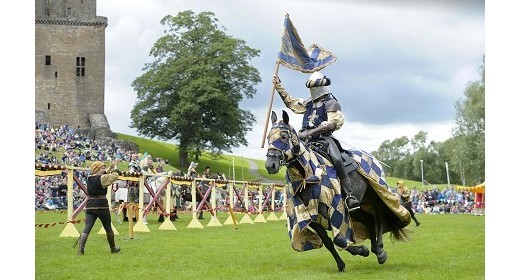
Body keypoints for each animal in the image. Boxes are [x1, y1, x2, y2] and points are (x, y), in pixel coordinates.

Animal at [266, 110, 412, 272]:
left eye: (283, 136)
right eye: (268, 138)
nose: (270, 165)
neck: (308, 177)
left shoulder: (336, 209)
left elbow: (339, 239)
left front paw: (361, 250)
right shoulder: (309, 216)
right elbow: (329, 241)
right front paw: (342, 264)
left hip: (375, 193)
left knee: (379, 217)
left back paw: (379, 250)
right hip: (358, 206)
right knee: (369, 220)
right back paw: (375, 248)